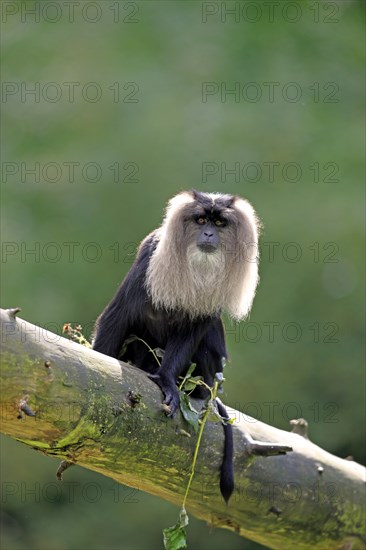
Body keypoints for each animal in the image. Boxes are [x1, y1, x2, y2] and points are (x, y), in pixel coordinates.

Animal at [93, 191, 258, 504]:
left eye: (220, 223)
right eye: (201, 220)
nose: (209, 234)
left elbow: (193, 333)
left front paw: (168, 381)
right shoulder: (148, 261)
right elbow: (115, 319)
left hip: (209, 373)